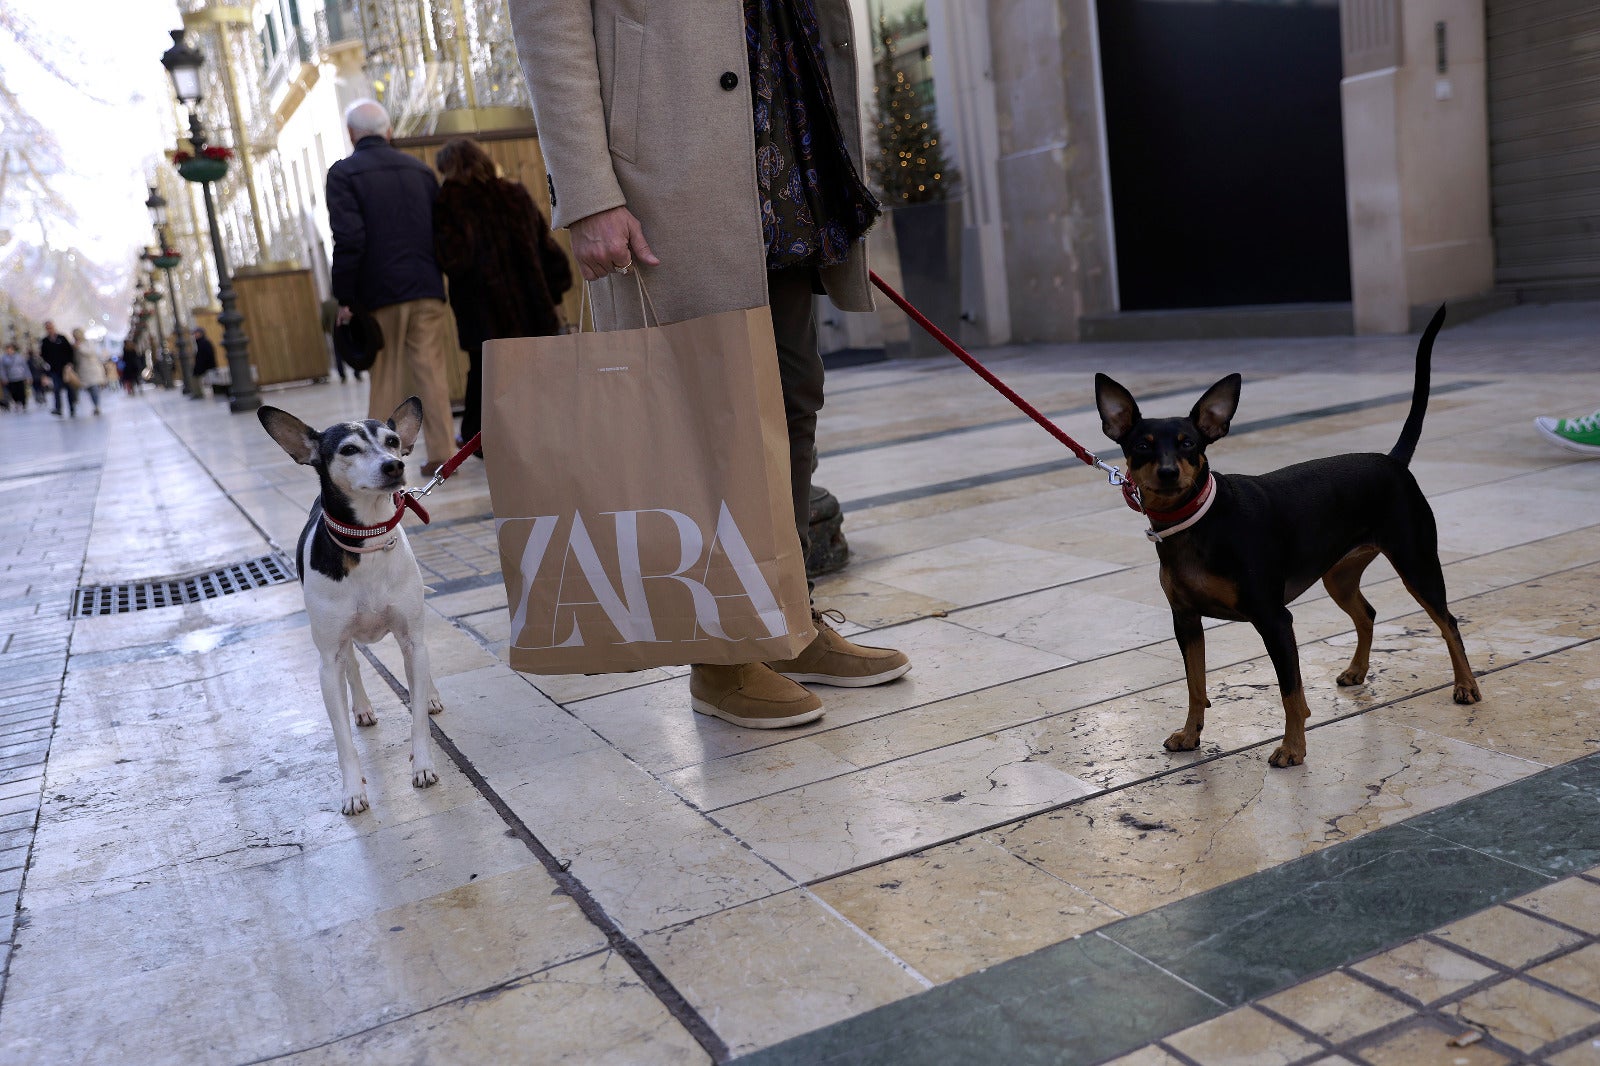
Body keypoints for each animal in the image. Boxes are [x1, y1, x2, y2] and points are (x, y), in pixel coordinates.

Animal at [259, 393, 441, 809]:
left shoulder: (411, 639)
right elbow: (342, 738)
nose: (395, 464)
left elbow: (418, 718)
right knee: (354, 666)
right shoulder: (327, 662)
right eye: (348, 449)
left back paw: (430, 695)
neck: (367, 540)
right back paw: (361, 707)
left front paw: (422, 764)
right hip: (341, 643)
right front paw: (353, 790)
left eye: (392, 441)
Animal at [1094, 305, 1478, 765]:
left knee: (1448, 622)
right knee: (1367, 613)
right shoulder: (1185, 621)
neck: (1198, 523)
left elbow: (1290, 691)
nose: (1169, 472)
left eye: (1189, 444)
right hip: (1339, 575)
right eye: (1143, 446)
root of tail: (1392, 460)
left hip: (1416, 563)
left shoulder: (1275, 620)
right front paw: (1190, 734)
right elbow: (1195, 685)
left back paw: (1466, 685)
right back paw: (1357, 670)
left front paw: (1293, 748)